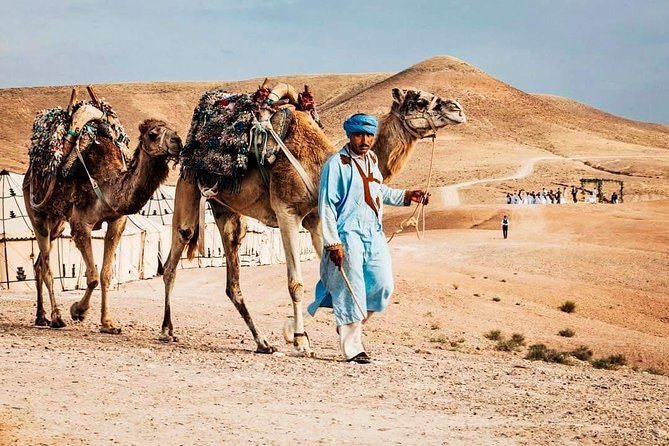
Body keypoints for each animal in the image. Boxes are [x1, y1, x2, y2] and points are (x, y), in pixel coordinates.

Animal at [24, 105, 183, 333]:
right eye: (153, 134)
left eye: (173, 129)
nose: (178, 141)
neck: (109, 186)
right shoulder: (81, 226)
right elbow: (91, 277)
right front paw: (78, 311)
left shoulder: (117, 222)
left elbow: (106, 275)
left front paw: (108, 323)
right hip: (37, 214)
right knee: (46, 267)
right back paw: (56, 318)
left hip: (57, 222)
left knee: (38, 266)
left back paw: (41, 317)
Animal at [160, 85, 466, 354]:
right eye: (420, 100)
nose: (458, 109)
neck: (321, 165)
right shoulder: (287, 212)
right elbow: (296, 283)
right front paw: (299, 339)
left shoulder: (317, 220)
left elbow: (337, 279)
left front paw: (317, 333)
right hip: (188, 182)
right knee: (177, 250)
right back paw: (167, 330)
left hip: (225, 209)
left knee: (232, 278)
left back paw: (262, 343)